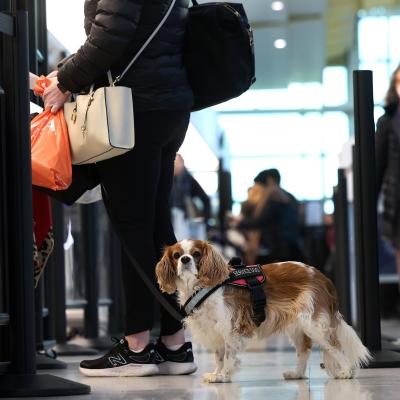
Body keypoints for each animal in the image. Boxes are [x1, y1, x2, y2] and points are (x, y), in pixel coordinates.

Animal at [156, 239, 372, 382]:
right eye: (176, 255)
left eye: (196, 254)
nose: (185, 260)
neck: (201, 287)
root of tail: (322, 277)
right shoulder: (214, 331)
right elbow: (218, 356)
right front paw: (217, 374)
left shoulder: (230, 328)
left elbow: (228, 356)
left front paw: (224, 376)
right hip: (297, 326)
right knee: (304, 350)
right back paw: (297, 374)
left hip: (314, 324)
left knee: (334, 347)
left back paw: (347, 372)